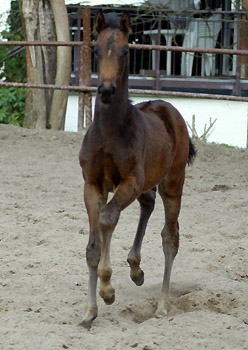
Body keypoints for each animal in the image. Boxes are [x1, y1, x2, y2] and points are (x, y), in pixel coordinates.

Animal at [79, 10, 196, 328]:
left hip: (173, 183)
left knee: (170, 237)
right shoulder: (92, 185)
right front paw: (90, 312)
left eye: (125, 50)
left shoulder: (130, 181)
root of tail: (169, 109)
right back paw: (135, 268)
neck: (110, 132)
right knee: (148, 202)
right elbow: (92, 247)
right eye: (95, 49)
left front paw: (107, 290)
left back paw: (162, 305)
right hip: (148, 184)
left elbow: (108, 218)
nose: (107, 90)